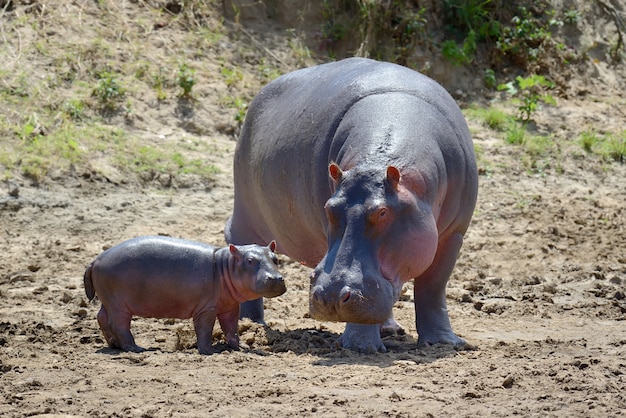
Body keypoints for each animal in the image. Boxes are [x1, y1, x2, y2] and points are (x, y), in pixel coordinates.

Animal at [84, 235, 284, 352]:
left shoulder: (230, 307)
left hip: (108, 300)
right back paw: (135, 348)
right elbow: (205, 329)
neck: (225, 265)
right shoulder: (206, 309)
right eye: (250, 260)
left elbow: (231, 328)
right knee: (119, 324)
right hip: (118, 304)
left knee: (102, 317)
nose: (276, 278)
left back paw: (114, 345)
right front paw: (208, 351)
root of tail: (96, 259)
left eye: (275, 258)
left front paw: (240, 346)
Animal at [227, 57, 476, 352]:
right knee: (242, 245)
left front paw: (445, 343)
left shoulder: (453, 235)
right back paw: (251, 324)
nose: (331, 296)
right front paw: (361, 347)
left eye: (382, 212)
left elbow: (433, 287)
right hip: (245, 212)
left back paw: (390, 329)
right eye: (329, 208)